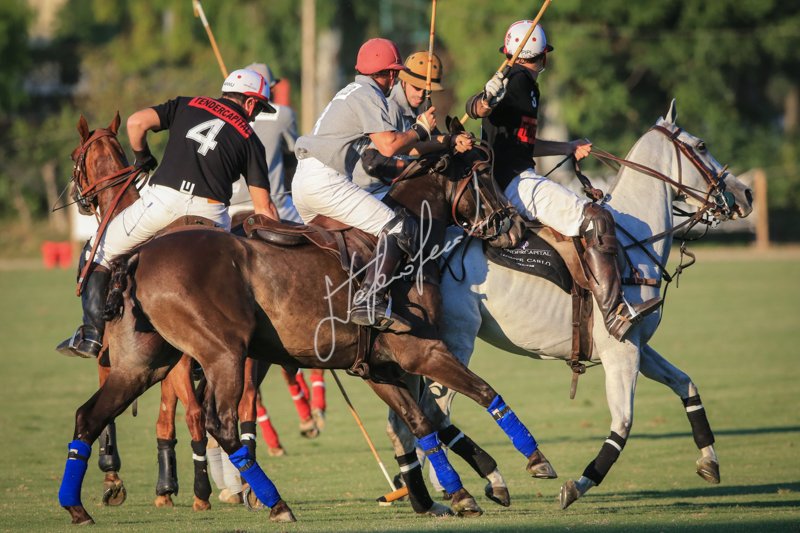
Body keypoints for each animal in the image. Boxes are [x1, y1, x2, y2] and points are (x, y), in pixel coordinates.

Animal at [56, 117, 560, 525]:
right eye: (482, 174)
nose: (516, 227)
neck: (413, 246)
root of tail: (137, 256)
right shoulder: (422, 351)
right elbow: (485, 393)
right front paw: (534, 460)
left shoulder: (378, 367)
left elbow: (421, 422)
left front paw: (459, 494)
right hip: (222, 352)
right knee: (221, 423)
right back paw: (274, 502)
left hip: (145, 363)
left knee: (89, 415)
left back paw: (77, 506)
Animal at [386, 100, 754, 510]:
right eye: (702, 145)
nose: (746, 195)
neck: (634, 239)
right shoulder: (620, 350)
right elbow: (623, 423)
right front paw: (578, 484)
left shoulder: (636, 344)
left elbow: (685, 382)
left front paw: (709, 461)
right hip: (456, 339)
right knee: (434, 411)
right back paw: (472, 482)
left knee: (409, 417)